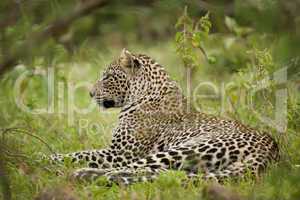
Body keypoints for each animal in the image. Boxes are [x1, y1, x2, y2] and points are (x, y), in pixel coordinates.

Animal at [50, 49, 280, 185]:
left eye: (107, 77)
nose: (90, 93)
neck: (144, 94)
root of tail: (271, 150)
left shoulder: (120, 154)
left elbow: (78, 154)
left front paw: (47, 158)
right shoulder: (117, 152)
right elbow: (80, 152)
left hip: (188, 148)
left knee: (140, 169)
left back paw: (86, 174)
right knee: (165, 174)